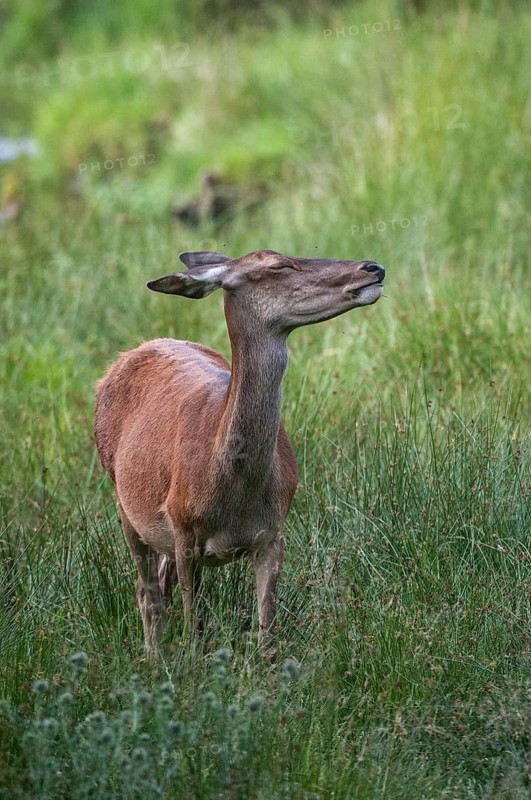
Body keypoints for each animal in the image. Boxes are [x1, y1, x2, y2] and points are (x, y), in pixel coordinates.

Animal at [94, 249, 385, 656]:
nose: (373, 268)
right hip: (125, 504)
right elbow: (195, 627)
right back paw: (152, 657)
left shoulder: (273, 533)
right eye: (279, 265)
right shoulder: (184, 528)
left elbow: (267, 632)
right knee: (146, 592)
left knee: (158, 588)